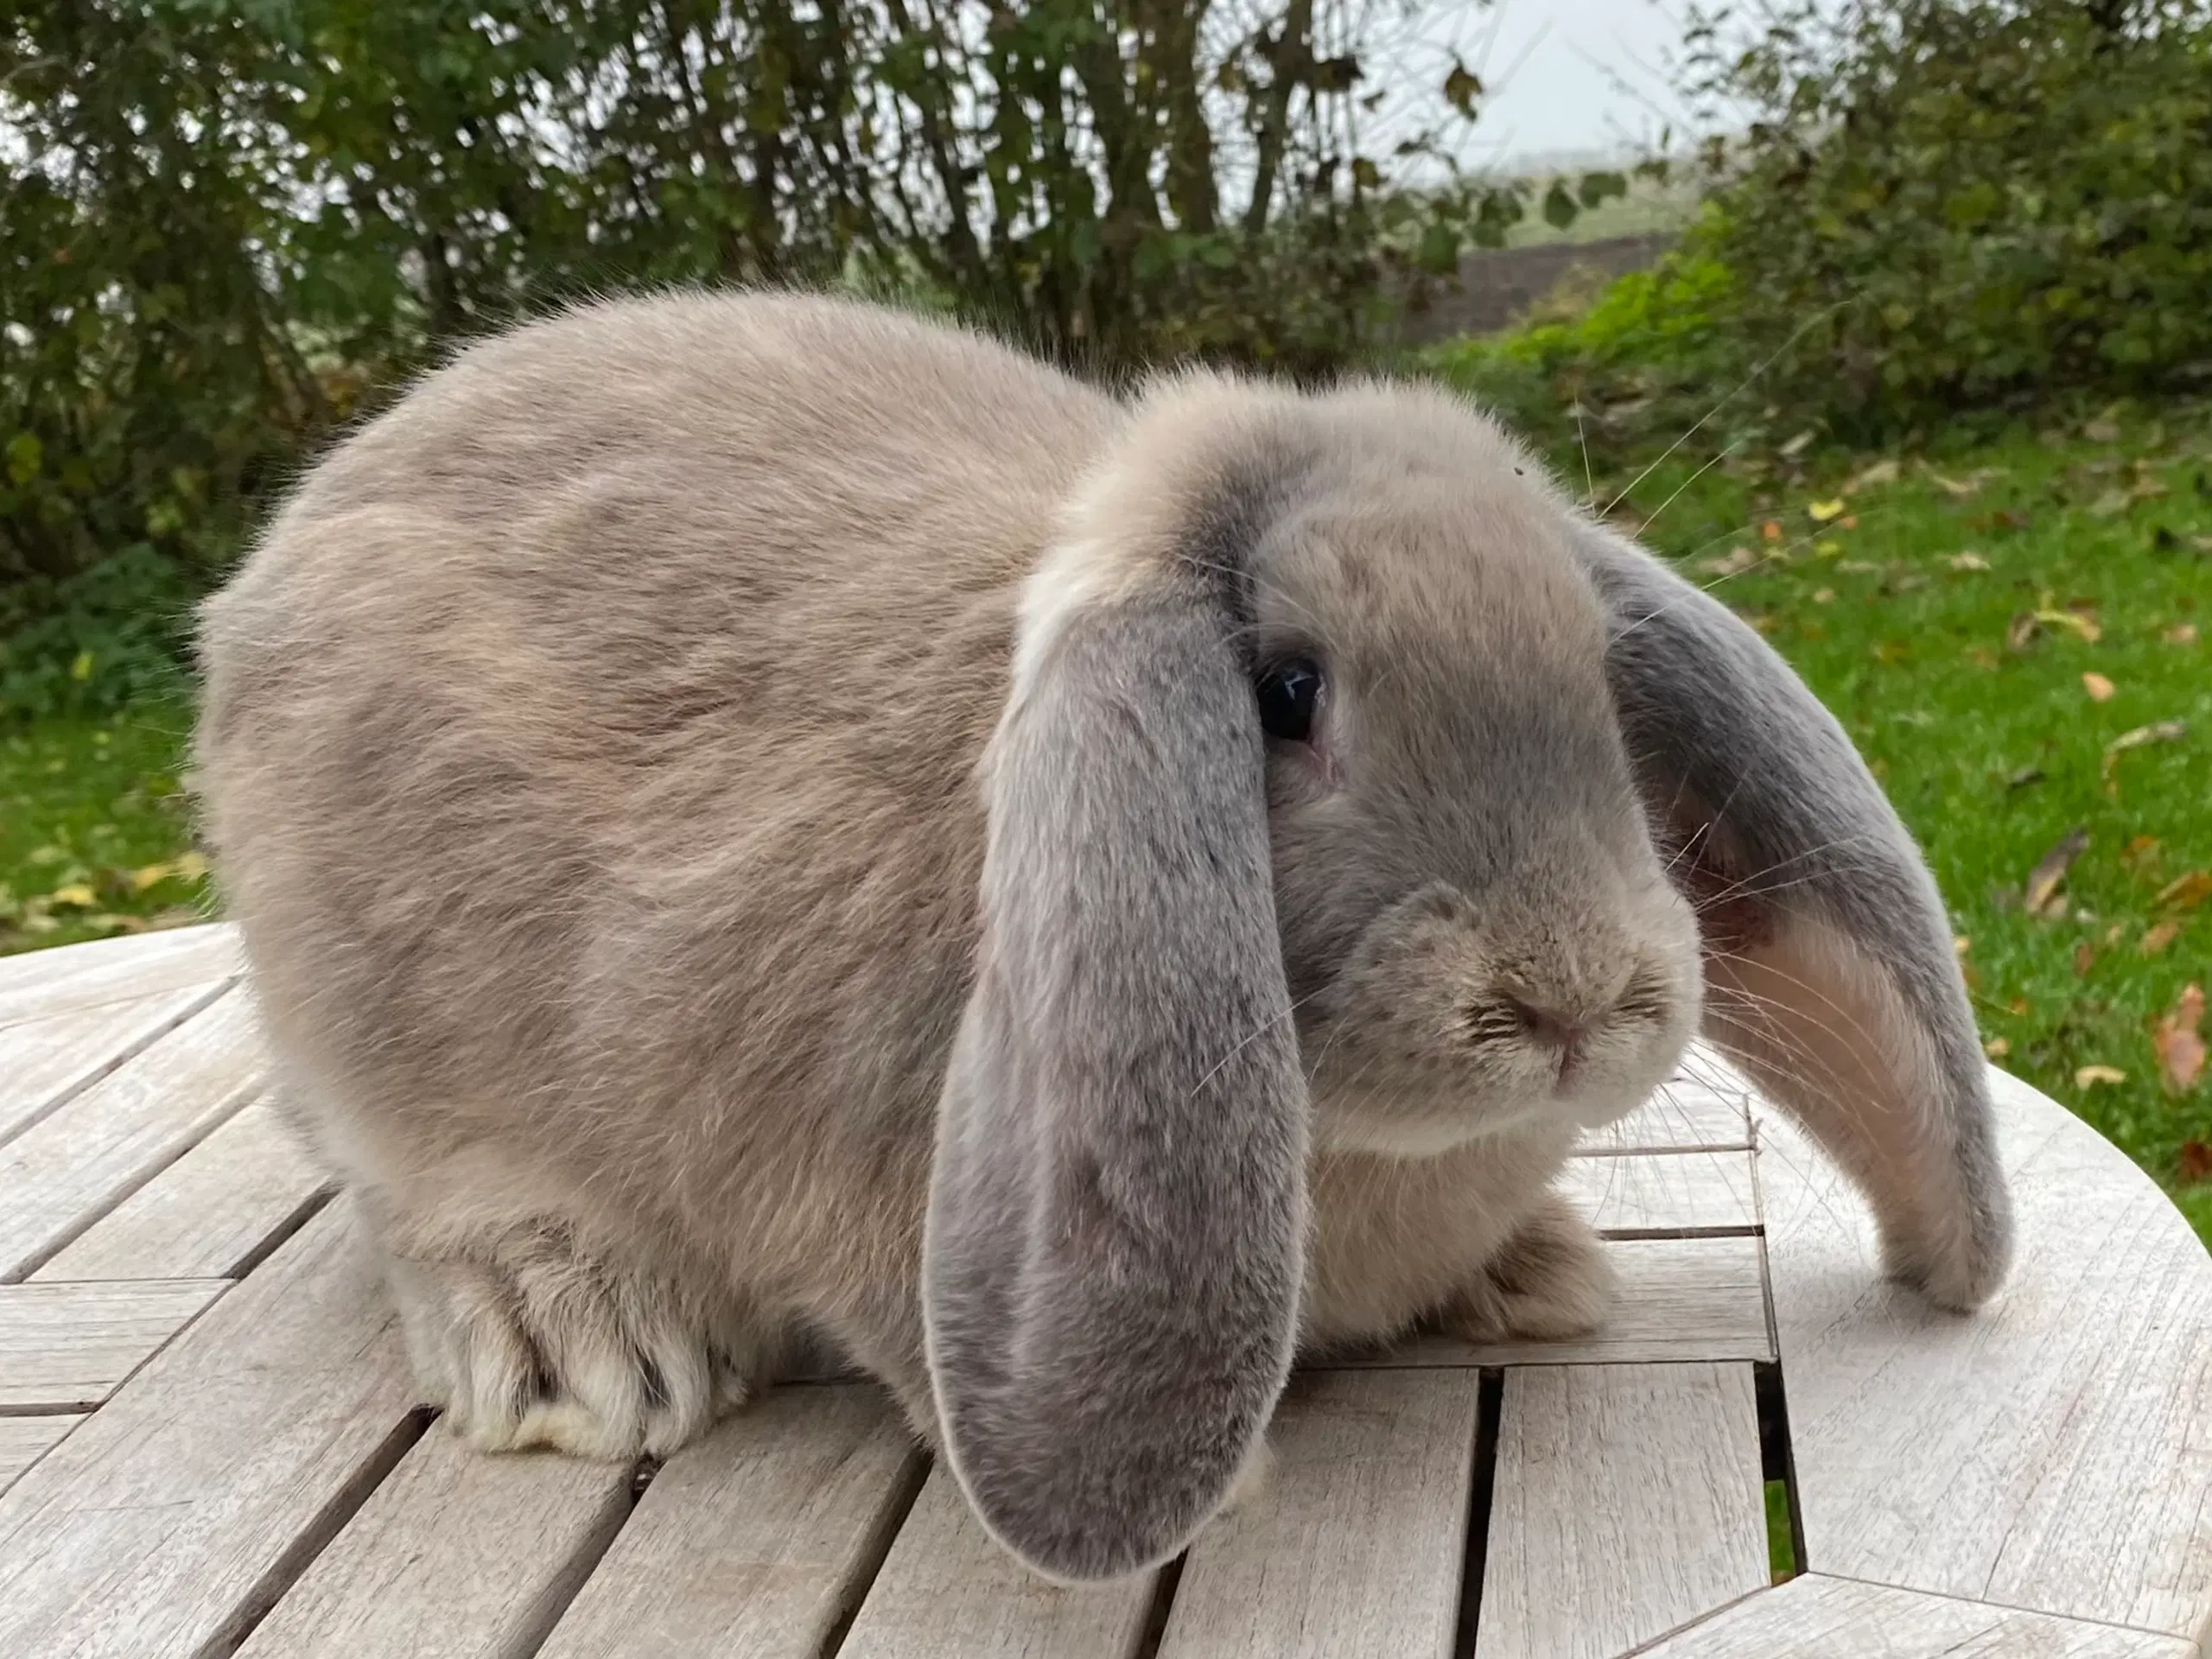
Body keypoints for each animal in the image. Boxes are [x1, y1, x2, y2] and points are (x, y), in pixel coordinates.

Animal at [199, 291, 2017, 1592]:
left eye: (1603, 689)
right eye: (1285, 695)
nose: (1572, 997)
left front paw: (1535, 1274)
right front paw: (1231, 1484)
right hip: (367, 1037)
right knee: (419, 1199)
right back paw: (580, 1339)